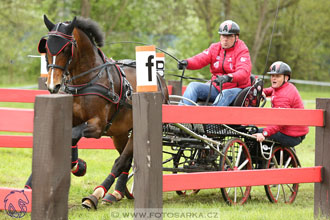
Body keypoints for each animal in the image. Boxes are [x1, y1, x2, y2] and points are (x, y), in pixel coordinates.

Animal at [33, 14, 169, 209]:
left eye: (66, 49)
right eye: (46, 49)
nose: (53, 85)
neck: (87, 80)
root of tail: (159, 79)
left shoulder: (97, 125)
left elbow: (74, 135)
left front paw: (79, 167)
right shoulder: (74, 119)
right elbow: (71, 137)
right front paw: (78, 165)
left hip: (137, 130)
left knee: (121, 161)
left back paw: (97, 194)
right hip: (119, 133)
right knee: (126, 161)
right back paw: (118, 192)